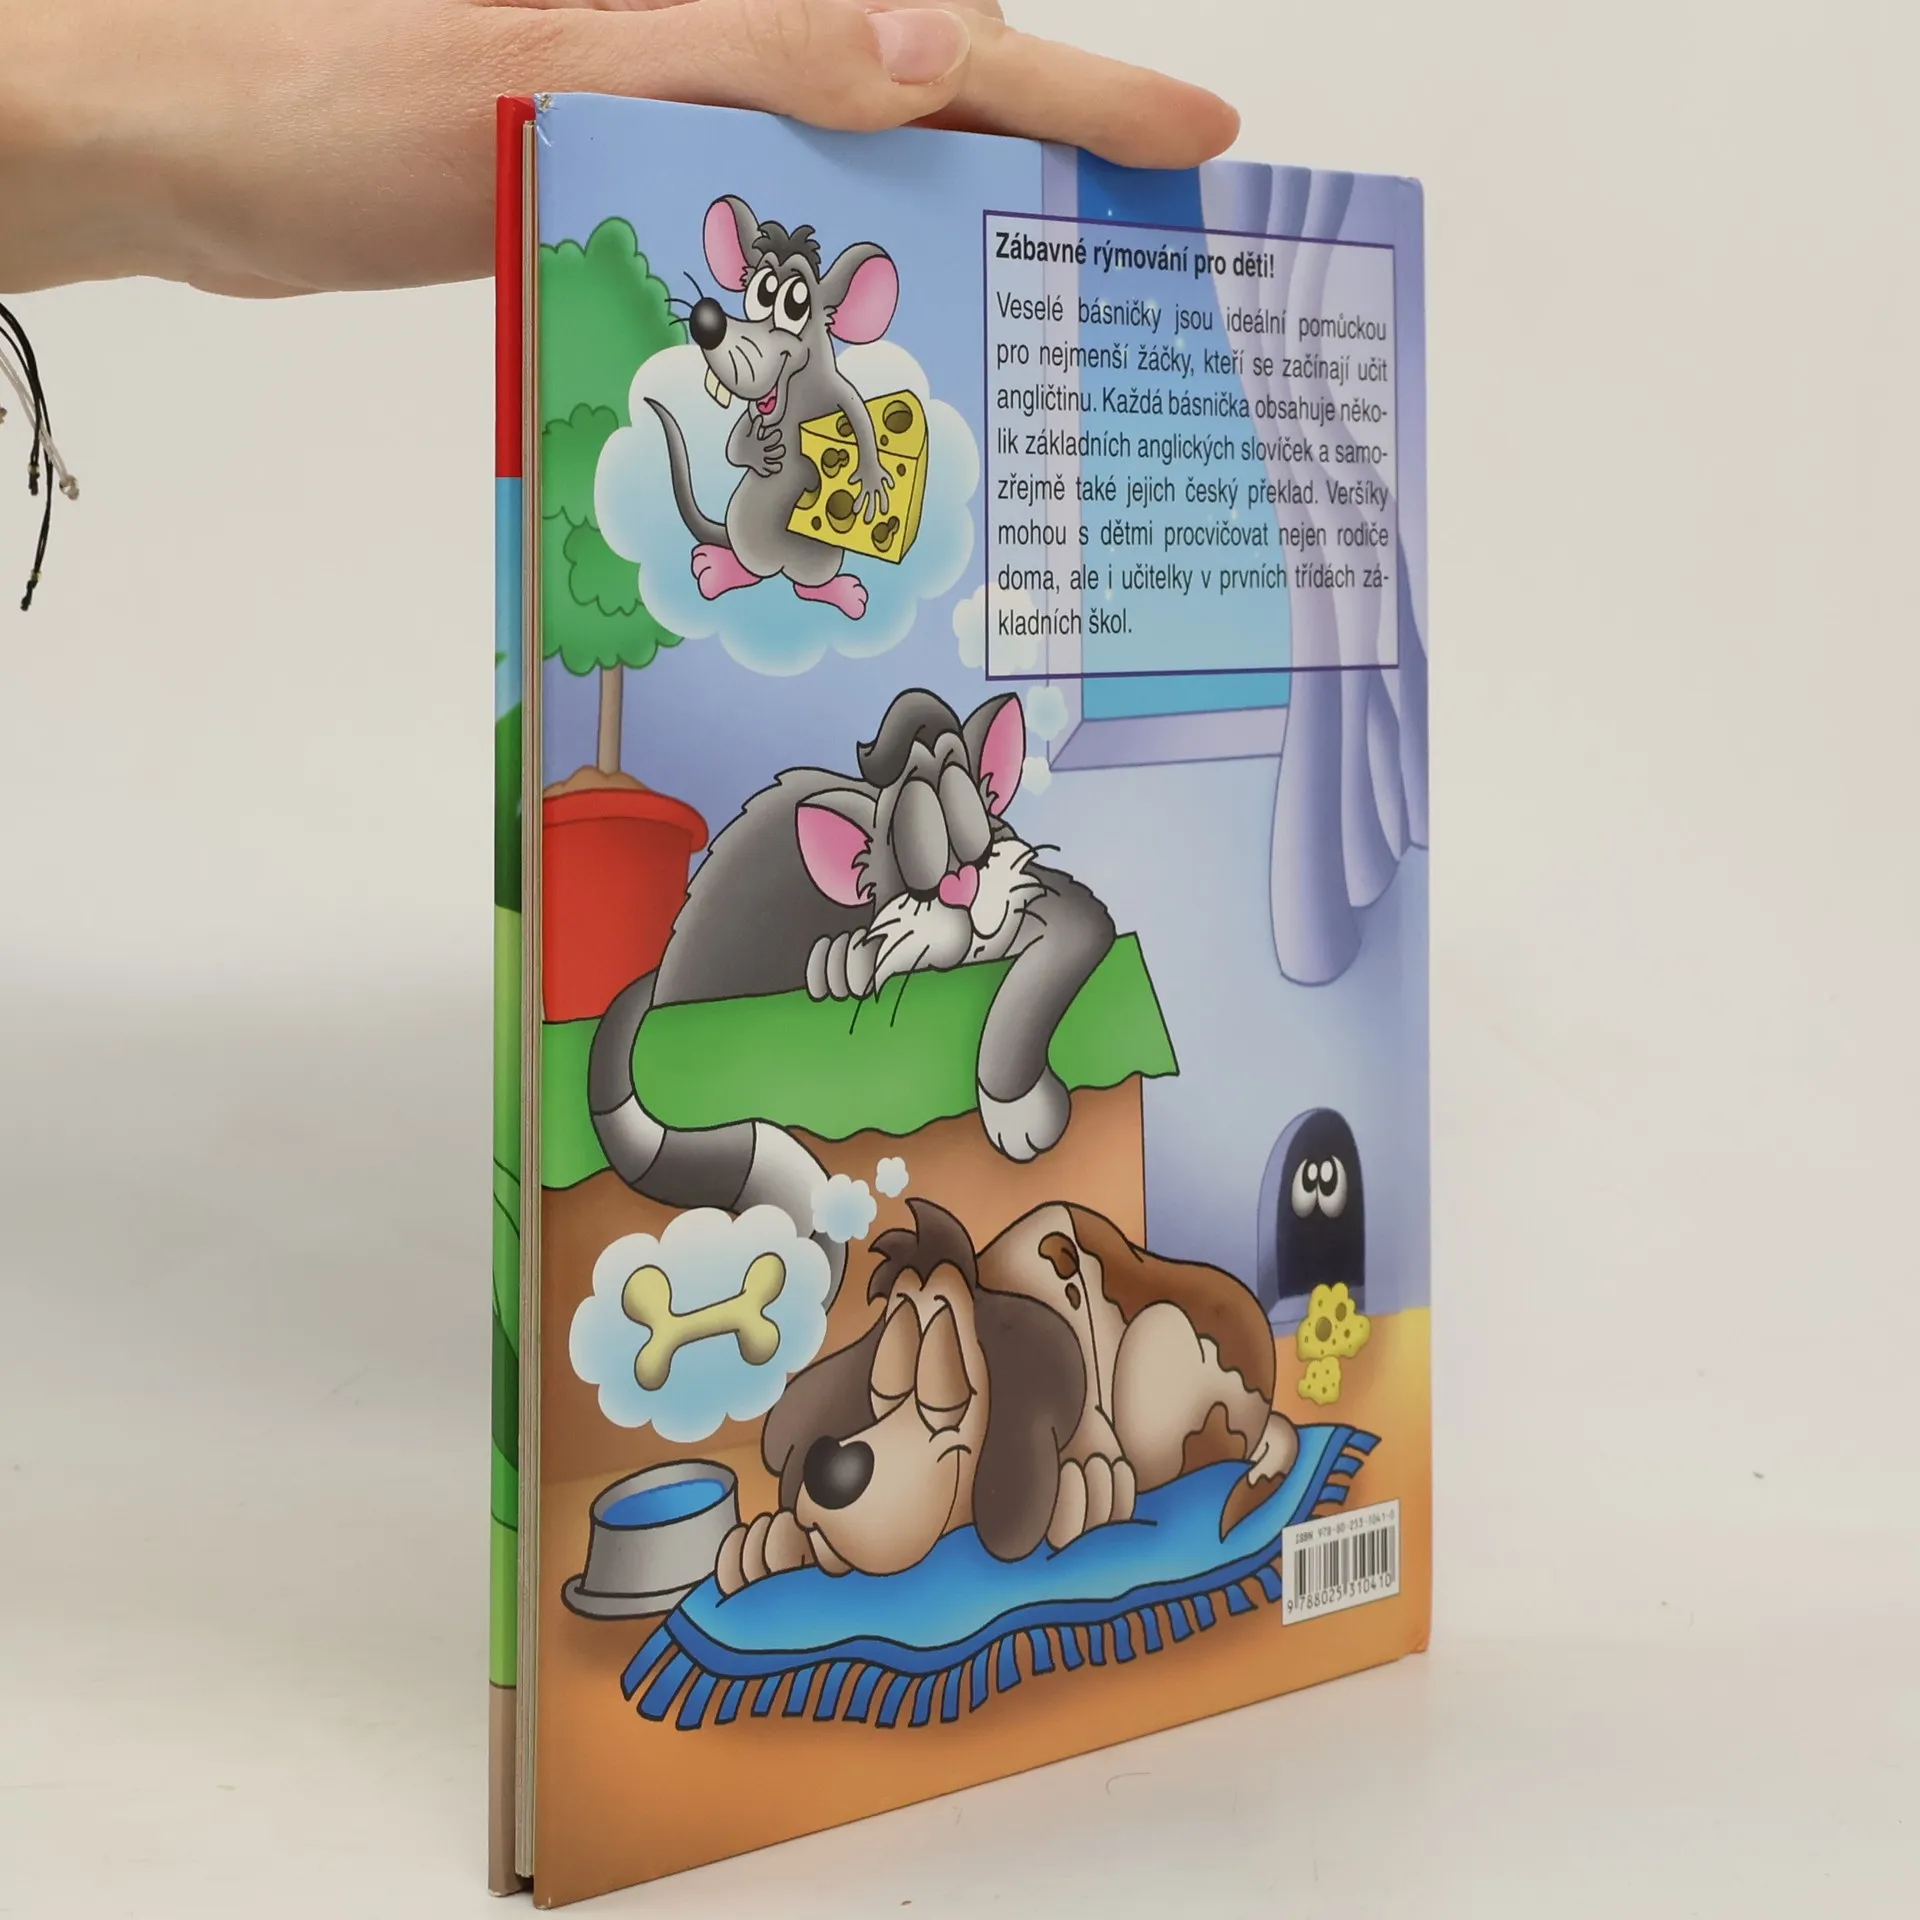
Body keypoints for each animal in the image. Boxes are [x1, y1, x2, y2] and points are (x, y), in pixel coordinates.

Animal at [588, 688, 1116, 1296]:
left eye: (980, 846)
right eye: (914, 875)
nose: (962, 889)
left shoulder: (1054, 908)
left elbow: (1038, 975)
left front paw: (1016, 1107)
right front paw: (844, 964)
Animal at [649, 194, 901, 621]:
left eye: (795, 303)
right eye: (760, 292)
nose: (707, 322)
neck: (794, 395)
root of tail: (780, 565)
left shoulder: (837, 388)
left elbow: (861, 417)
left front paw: (869, 476)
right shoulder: (753, 412)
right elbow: (735, 443)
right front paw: (758, 451)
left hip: (824, 556)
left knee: (806, 586)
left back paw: (844, 594)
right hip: (743, 525)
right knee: (752, 571)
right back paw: (717, 569)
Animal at [714, 1199, 1301, 1592]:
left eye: (947, 1392)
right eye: (882, 1383)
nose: (830, 1468)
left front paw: (1089, 1486)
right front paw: (765, 1544)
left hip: (1158, 1337)